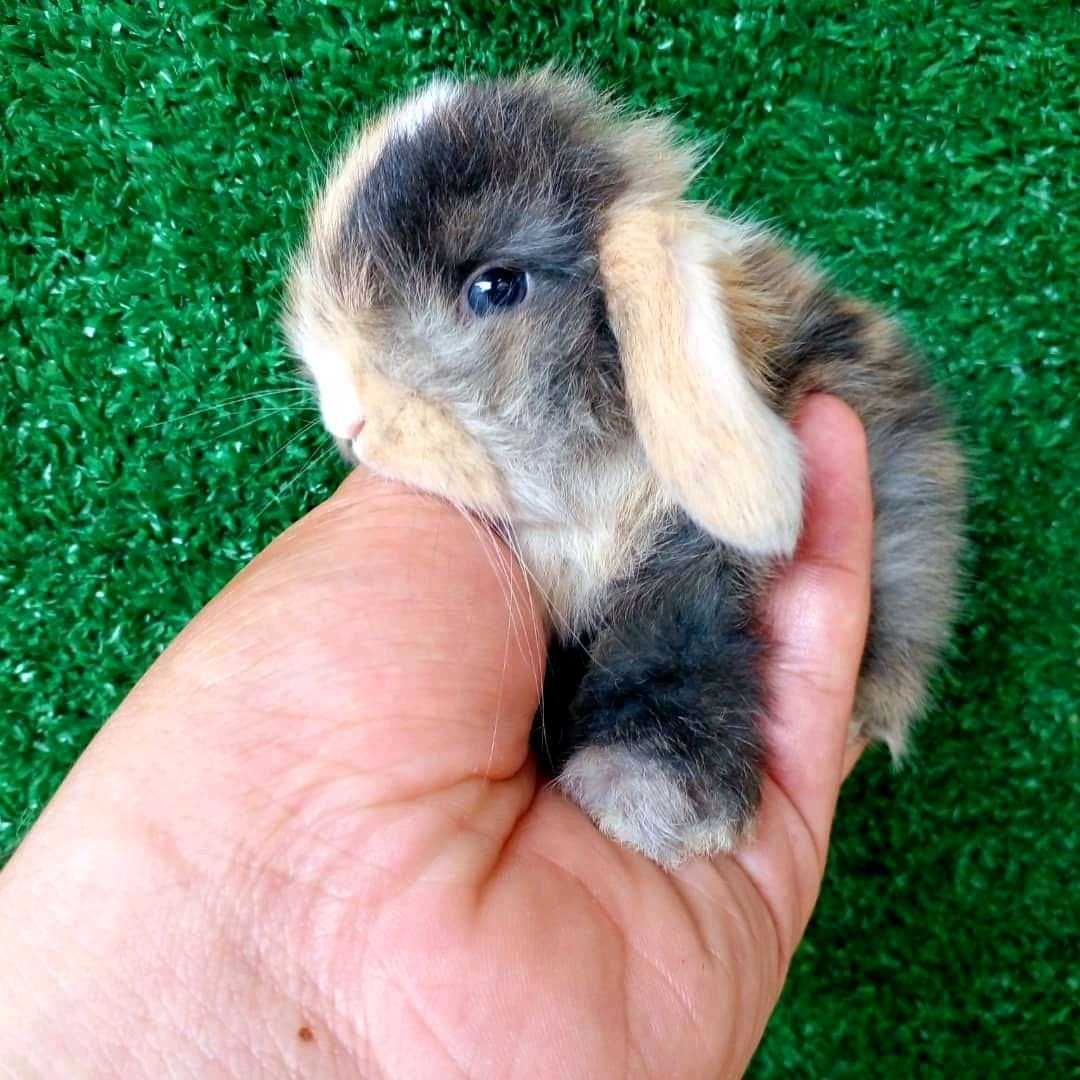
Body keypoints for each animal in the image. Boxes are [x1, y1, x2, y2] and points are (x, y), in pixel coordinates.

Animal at [282, 71, 967, 868]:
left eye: (494, 287)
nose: (347, 419)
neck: (583, 493)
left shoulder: (687, 565)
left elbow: (669, 655)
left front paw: (644, 803)